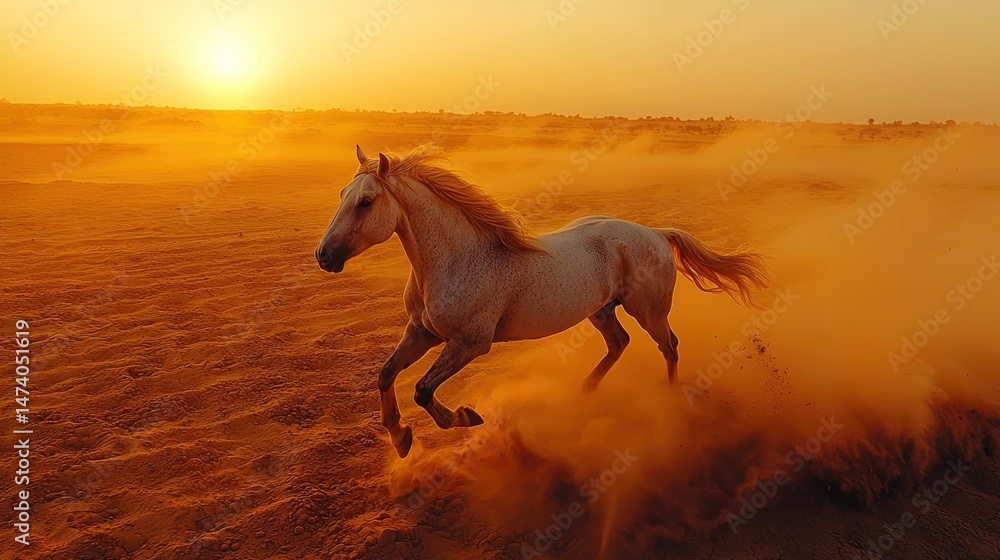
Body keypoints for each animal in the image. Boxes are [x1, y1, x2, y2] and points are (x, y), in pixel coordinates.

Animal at [316, 144, 769, 458]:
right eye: (340, 193)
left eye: (366, 202)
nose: (324, 256)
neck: (456, 257)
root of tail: (656, 233)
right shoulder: (421, 333)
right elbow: (386, 375)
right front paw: (400, 438)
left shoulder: (469, 344)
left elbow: (423, 391)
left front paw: (466, 416)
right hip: (601, 311)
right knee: (619, 343)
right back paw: (583, 392)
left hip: (649, 311)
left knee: (669, 346)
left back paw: (668, 403)